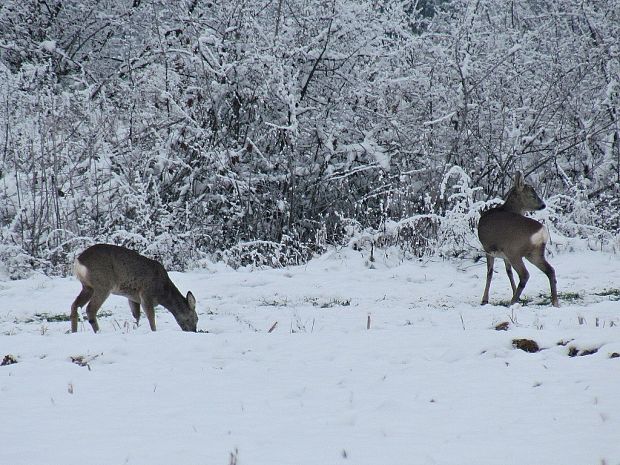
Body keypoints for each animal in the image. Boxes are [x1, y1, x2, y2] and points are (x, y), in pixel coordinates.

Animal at [69, 245, 197, 332]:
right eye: (195, 319)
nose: (194, 331)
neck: (163, 292)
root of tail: (79, 262)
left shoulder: (133, 297)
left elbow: (137, 316)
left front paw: (135, 329)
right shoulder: (146, 294)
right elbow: (151, 317)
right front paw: (154, 331)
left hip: (87, 287)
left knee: (75, 305)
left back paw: (74, 332)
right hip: (103, 284)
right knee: (90, 309)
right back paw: (98, 332)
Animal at [478, 172, 560, 306]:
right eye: (532, 194)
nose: (543, 205)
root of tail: (542, 232)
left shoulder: (489, 249)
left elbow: (490, 272)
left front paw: (484, 300)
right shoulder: (503, 255)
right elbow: (508, 272)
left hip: (514, 251)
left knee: (524, 274)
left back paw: (512, 302)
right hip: (535, 253)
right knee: (550, 270)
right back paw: (555, 302)